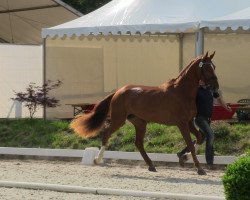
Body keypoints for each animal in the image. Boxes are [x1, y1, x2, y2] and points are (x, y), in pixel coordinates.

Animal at [70, 52, 219, 175]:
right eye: (207, 68)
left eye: (214, 66)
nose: (216, 89)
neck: (182, 92)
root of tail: (118, 91)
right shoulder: (182, 124)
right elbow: (191, 143)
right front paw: (199, 169)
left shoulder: (189, 121)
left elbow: (199, 138)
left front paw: (183, 158)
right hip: (119, 120)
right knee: (106, 135)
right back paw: (97, 160)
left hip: (140, 123)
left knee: (138, 143)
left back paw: (151, 165)